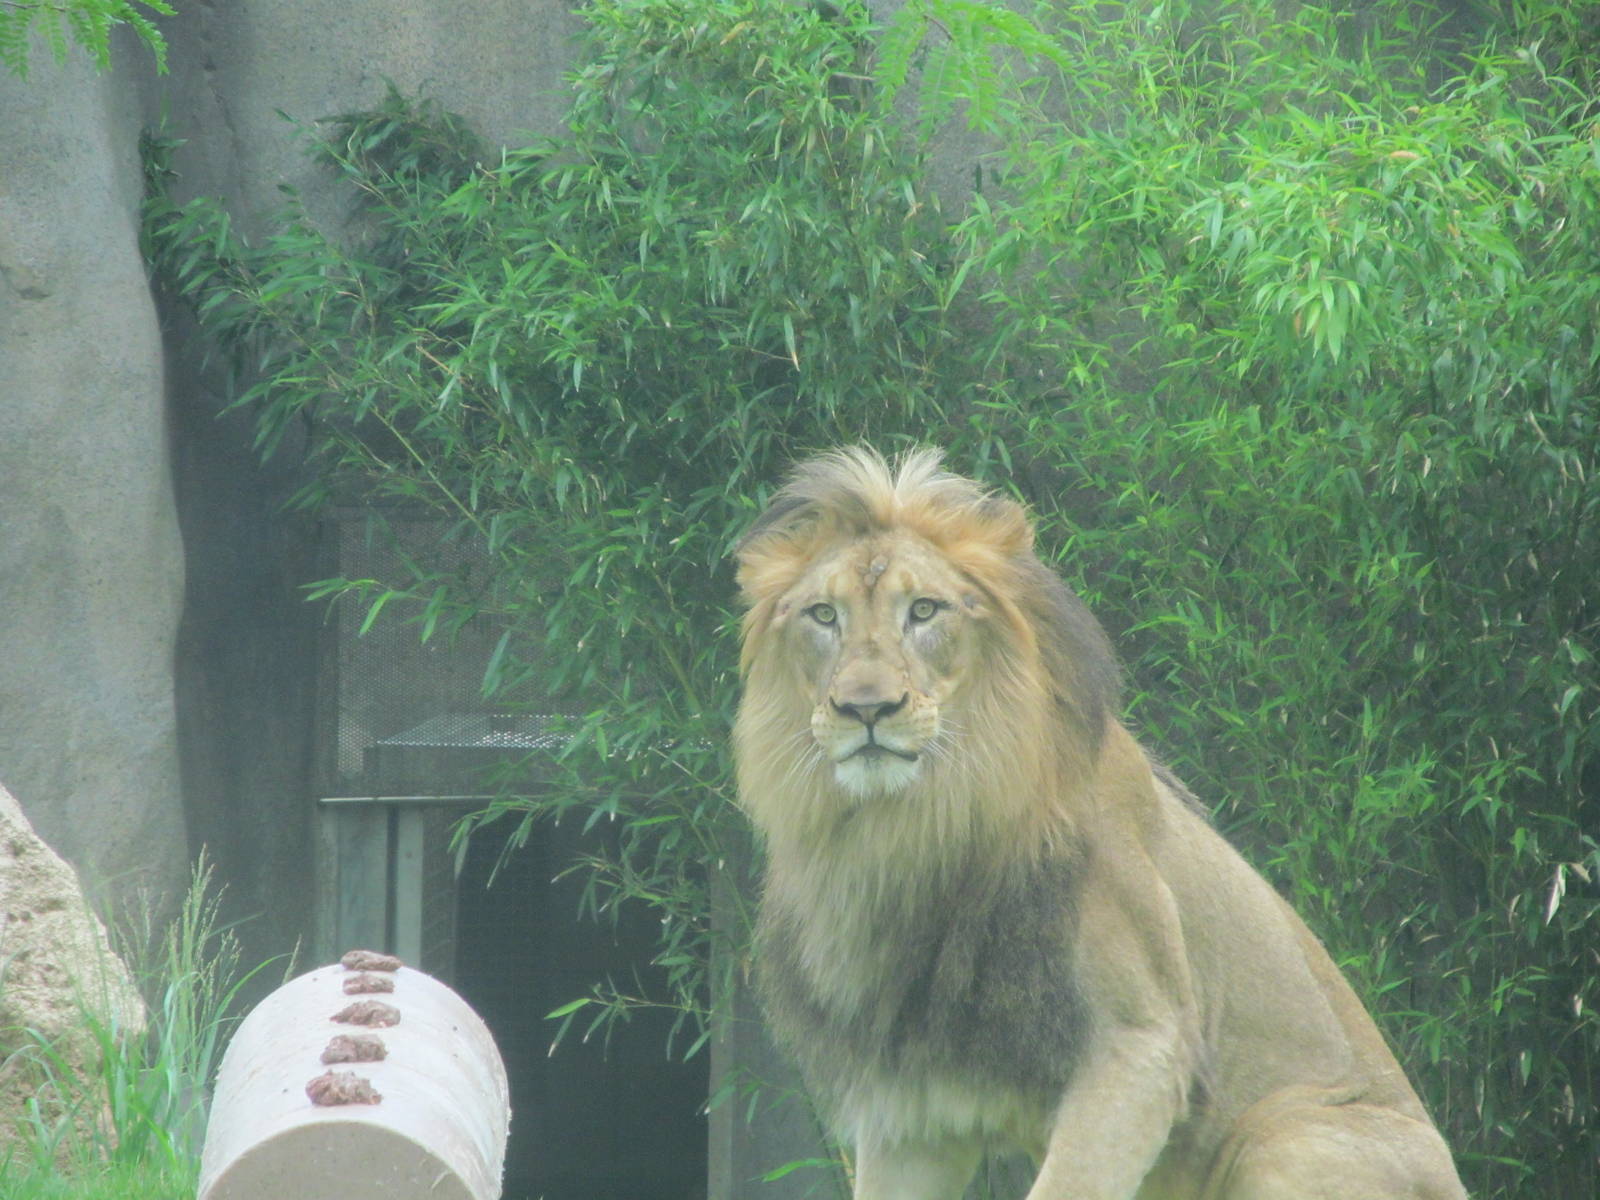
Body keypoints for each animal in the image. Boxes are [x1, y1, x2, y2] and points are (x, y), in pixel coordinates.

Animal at [731, 446, 1467, 1200]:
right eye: (824, 615)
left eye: (924, 610)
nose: (866, 708)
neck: (909, 831)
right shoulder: (911, 1107)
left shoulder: (1140, 1046)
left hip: (1286, 1135)